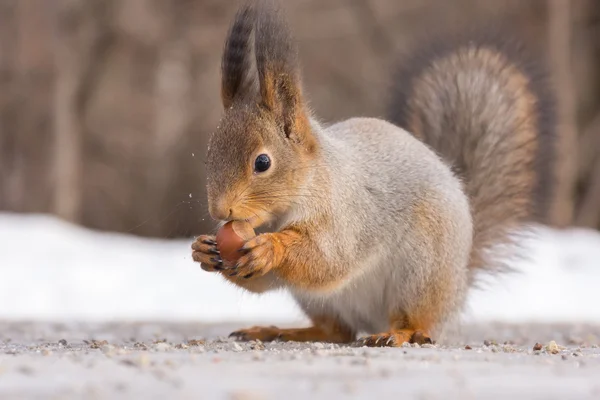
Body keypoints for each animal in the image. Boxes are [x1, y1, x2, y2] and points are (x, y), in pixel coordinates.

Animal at [190, 0, 556, 346]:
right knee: (337, 331)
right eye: (208, 156)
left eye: (263, 163)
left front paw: (271, 247)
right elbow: (267, 280)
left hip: (421, 271)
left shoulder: (347, 214)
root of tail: (459, 284)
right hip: (321, 300)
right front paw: (203, 249)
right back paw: (279, 331)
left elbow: (328, 258)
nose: (219, 211)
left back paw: (398, 334)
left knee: (416, 321)